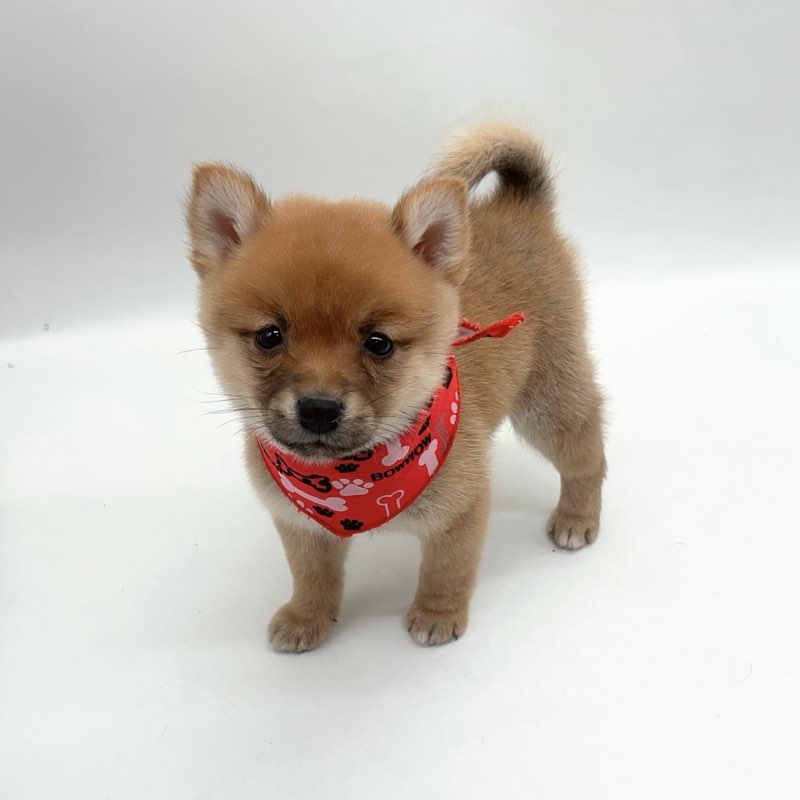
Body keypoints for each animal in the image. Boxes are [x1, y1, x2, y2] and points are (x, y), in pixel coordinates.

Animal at [185, 122, 606, 652]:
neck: (349, 479)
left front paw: (436, 615)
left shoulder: (461, 513)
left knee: (586, 450)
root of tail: (521, 207)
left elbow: (446, 572)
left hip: (546, 405)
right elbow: (313, 577)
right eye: (269, 336)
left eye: (378, 342)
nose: (318, 409)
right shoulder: (301, 527)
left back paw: (578, 518)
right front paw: (307, 618)